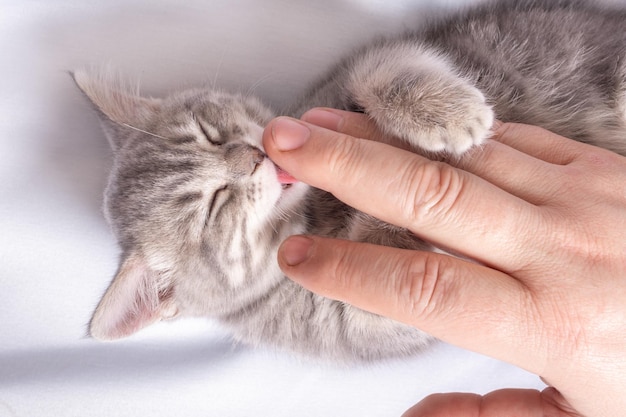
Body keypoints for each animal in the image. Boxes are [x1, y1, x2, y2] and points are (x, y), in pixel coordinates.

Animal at [75, 0, 624, 360]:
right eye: (213, 206)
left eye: (210, 134)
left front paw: (444, 110)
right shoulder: (362, 320)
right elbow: (382, 287)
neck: (317, 207)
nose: (252, 157)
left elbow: (378, 69)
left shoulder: (351, 76)